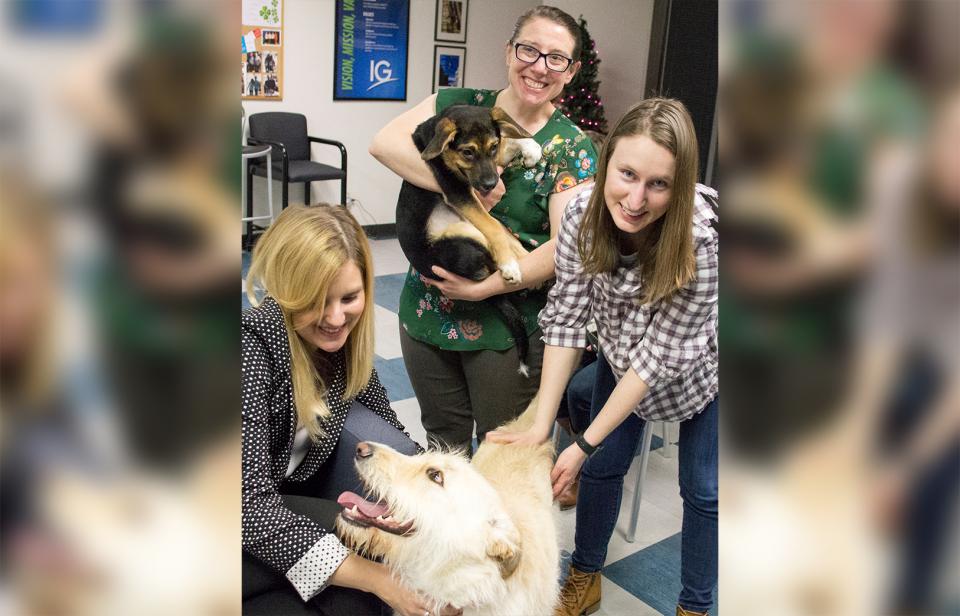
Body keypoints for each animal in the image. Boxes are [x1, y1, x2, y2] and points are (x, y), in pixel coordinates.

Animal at [392, 105, 540, 372]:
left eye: (492, 147)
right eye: (467, 152)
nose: (491, 185)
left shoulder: (485, 172)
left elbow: (511, 140)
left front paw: (531, 148)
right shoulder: (458, 191)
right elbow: (493, 226)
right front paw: (510, 266)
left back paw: (524, 258)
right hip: (464, 237)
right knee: (494, 246)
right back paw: (512, 265)